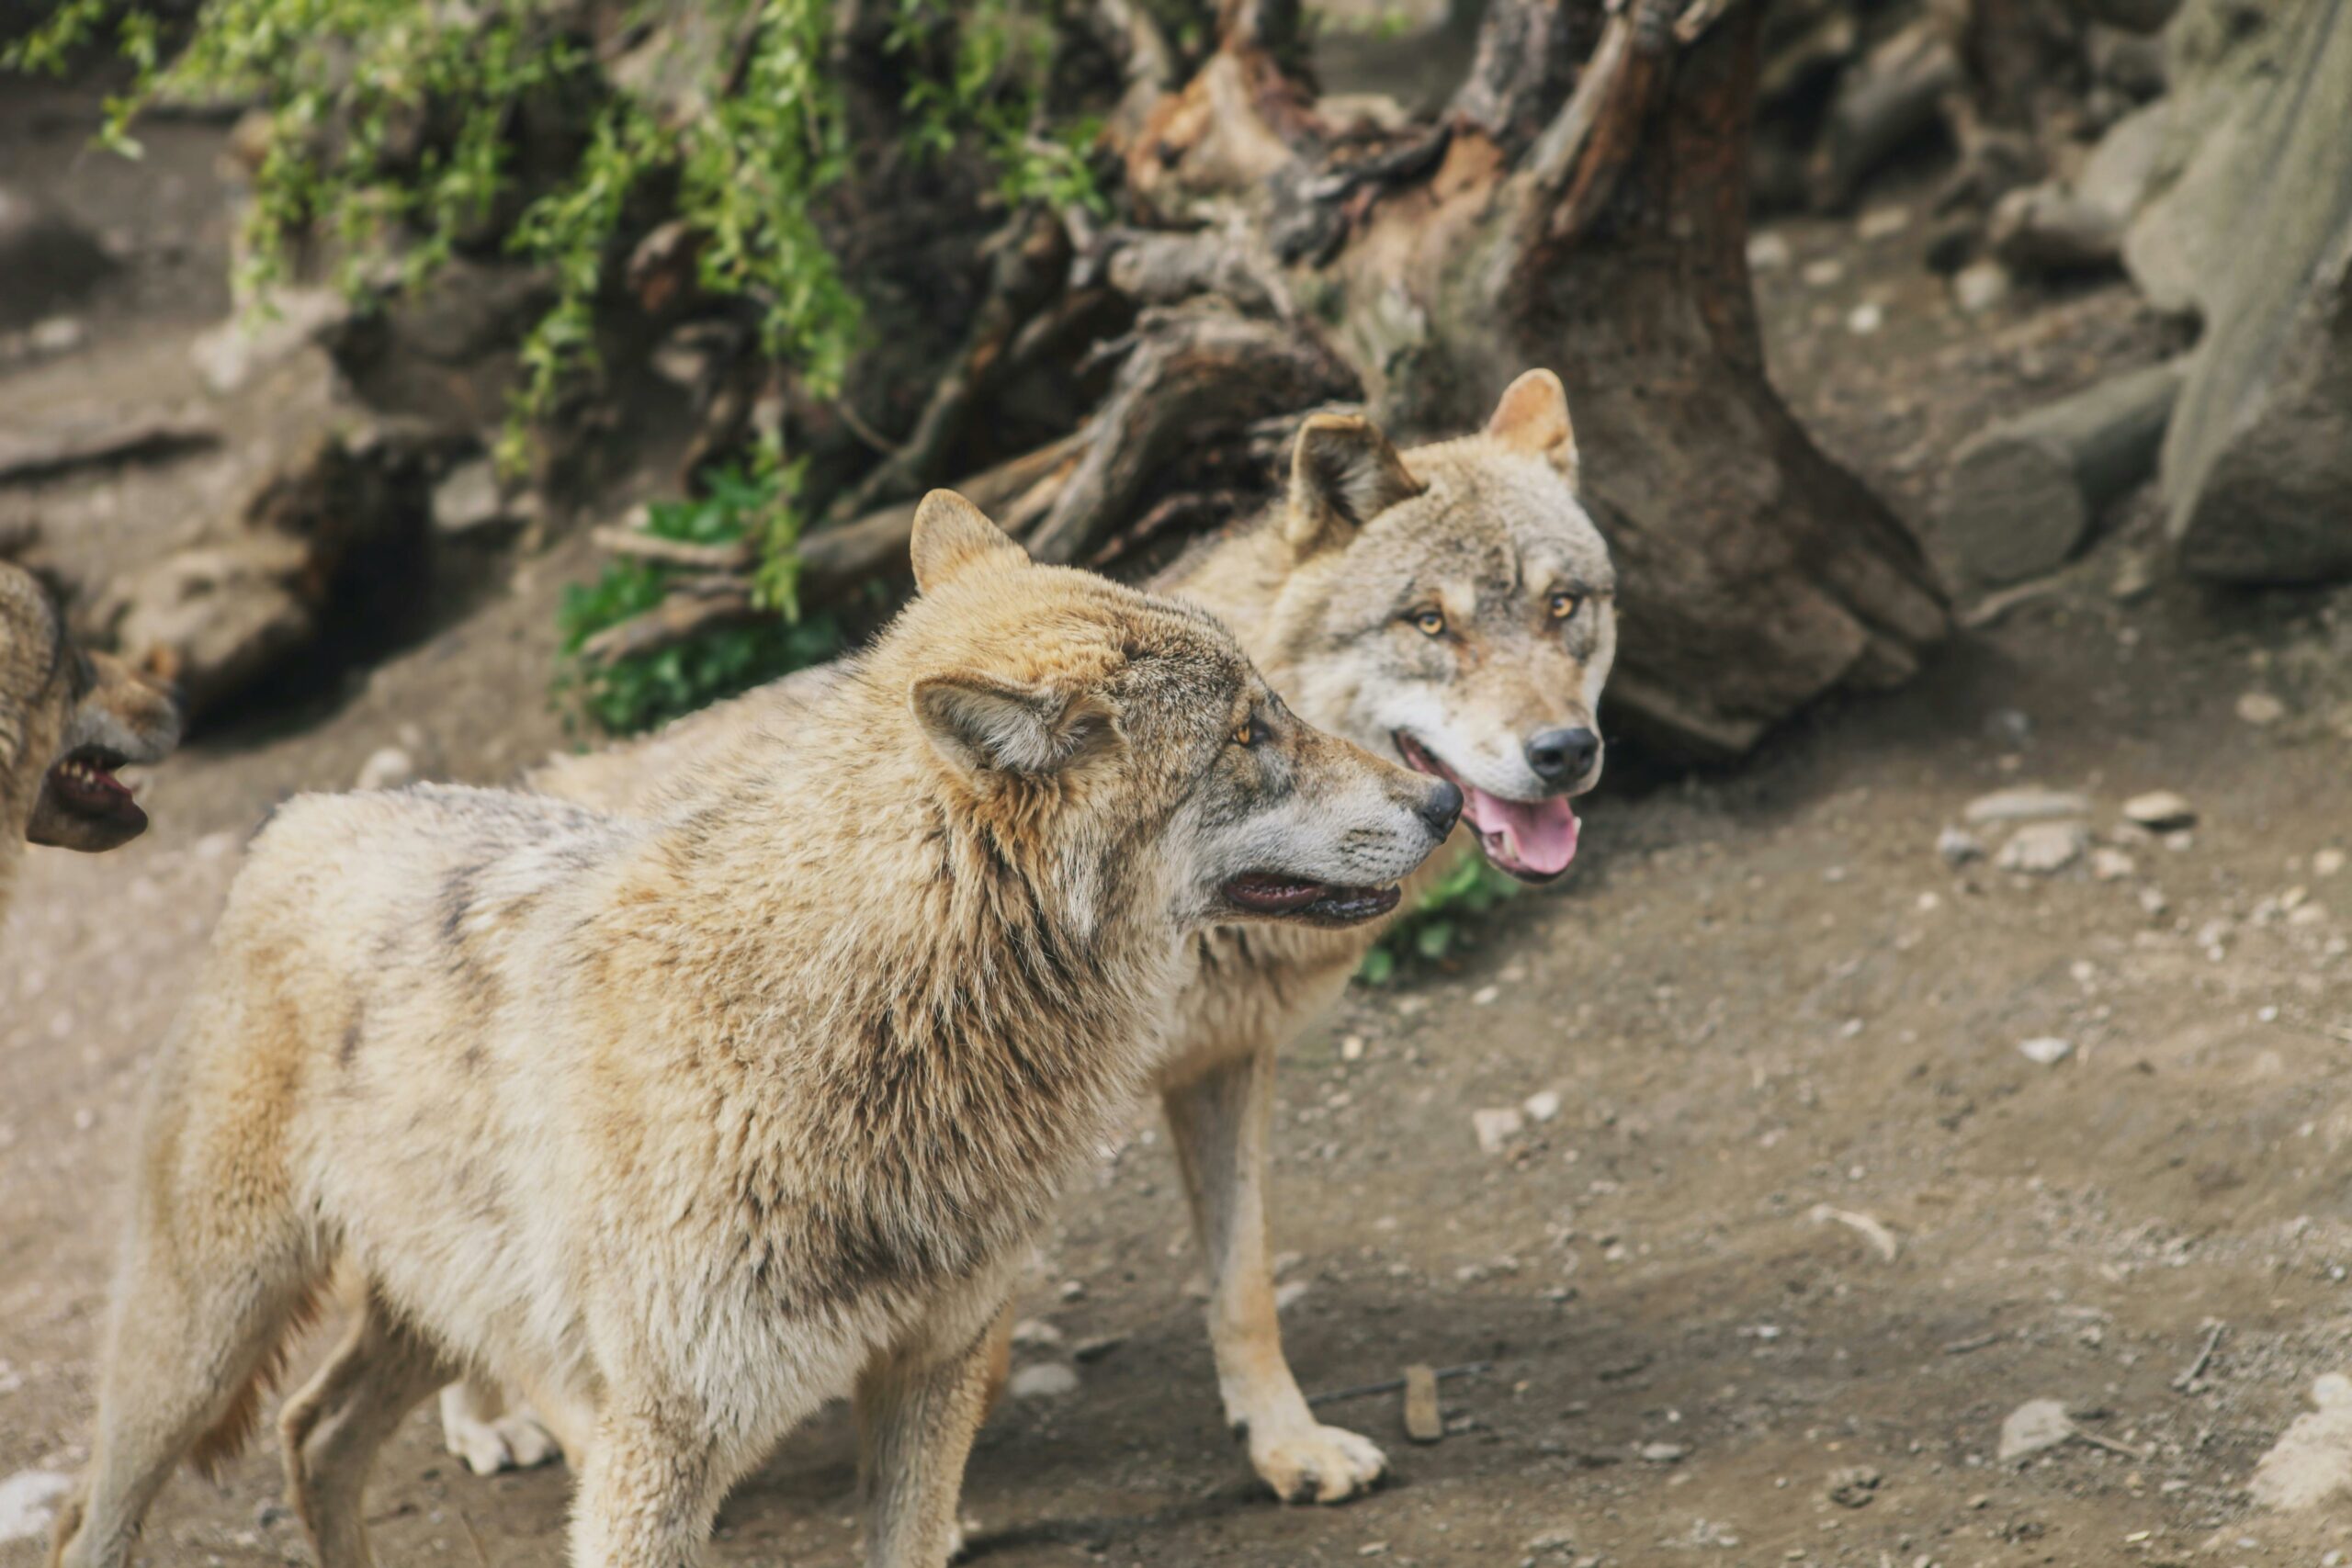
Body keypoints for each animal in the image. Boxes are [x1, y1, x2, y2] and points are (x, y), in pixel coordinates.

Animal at [51, 495, 1448, 1568]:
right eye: (1252, 732)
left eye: (1277, 701)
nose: (1440, 802)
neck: (858, 1028)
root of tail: (303, 813)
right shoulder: (659, 1452)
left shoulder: (930, 1377)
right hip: (197, 1343)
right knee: (101, 1513)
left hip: (433, 1312)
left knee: (317, 1435)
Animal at [451, 371, 1618, 1504]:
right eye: (1429, 624)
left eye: (1564, 607)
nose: (1558, 754)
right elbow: (976, 1349)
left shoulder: (1225, 1068)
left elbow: (1243, 1286)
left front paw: (1286, 1445)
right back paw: (496, 1423)